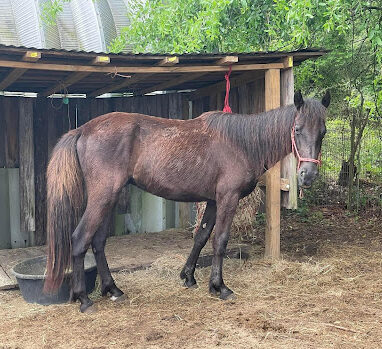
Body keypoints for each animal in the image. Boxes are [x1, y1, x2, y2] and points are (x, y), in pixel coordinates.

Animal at [44, 90, 330, 312]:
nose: (308, 175)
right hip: (102, 197)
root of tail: (83, 129)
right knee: (80, 239)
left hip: (109, 199)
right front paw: (219, 286)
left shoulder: (213, 201)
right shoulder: (228, 198)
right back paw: (83, 299)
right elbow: (220, 241)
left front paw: (188, 276)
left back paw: (112, 289)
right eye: (297, 129)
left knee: (98, 242)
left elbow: (201, 237)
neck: (242, 143)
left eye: (323, 132)